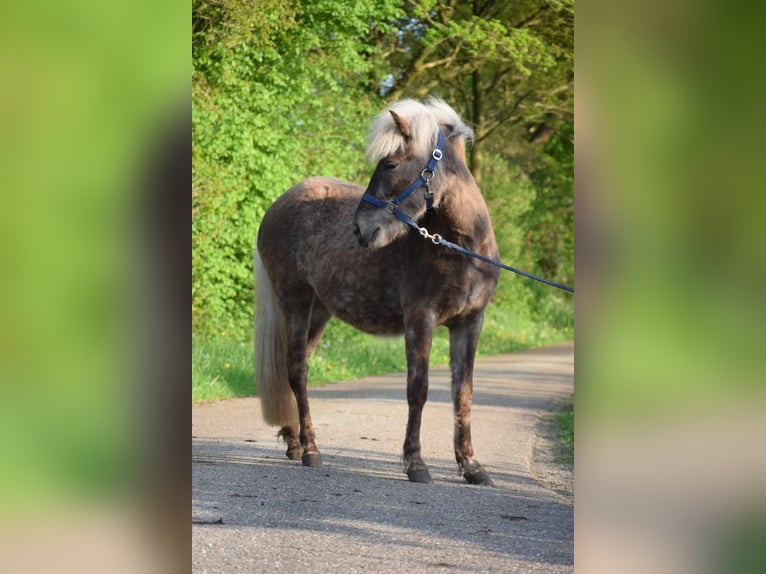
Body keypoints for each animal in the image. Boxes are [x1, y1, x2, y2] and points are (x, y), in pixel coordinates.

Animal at [254, 98, 500, 484]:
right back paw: (311, 450)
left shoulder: (470, 324)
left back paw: (295, 442)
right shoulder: (420, 319)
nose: (360, 229)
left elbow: (464, 393)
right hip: (295, 303)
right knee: (296, 371)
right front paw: (416, 464)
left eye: (390, 163)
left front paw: (472, 467)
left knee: (295, 368)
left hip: (320, 312)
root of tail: (277, 205)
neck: (461, 250)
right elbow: (418, 388)